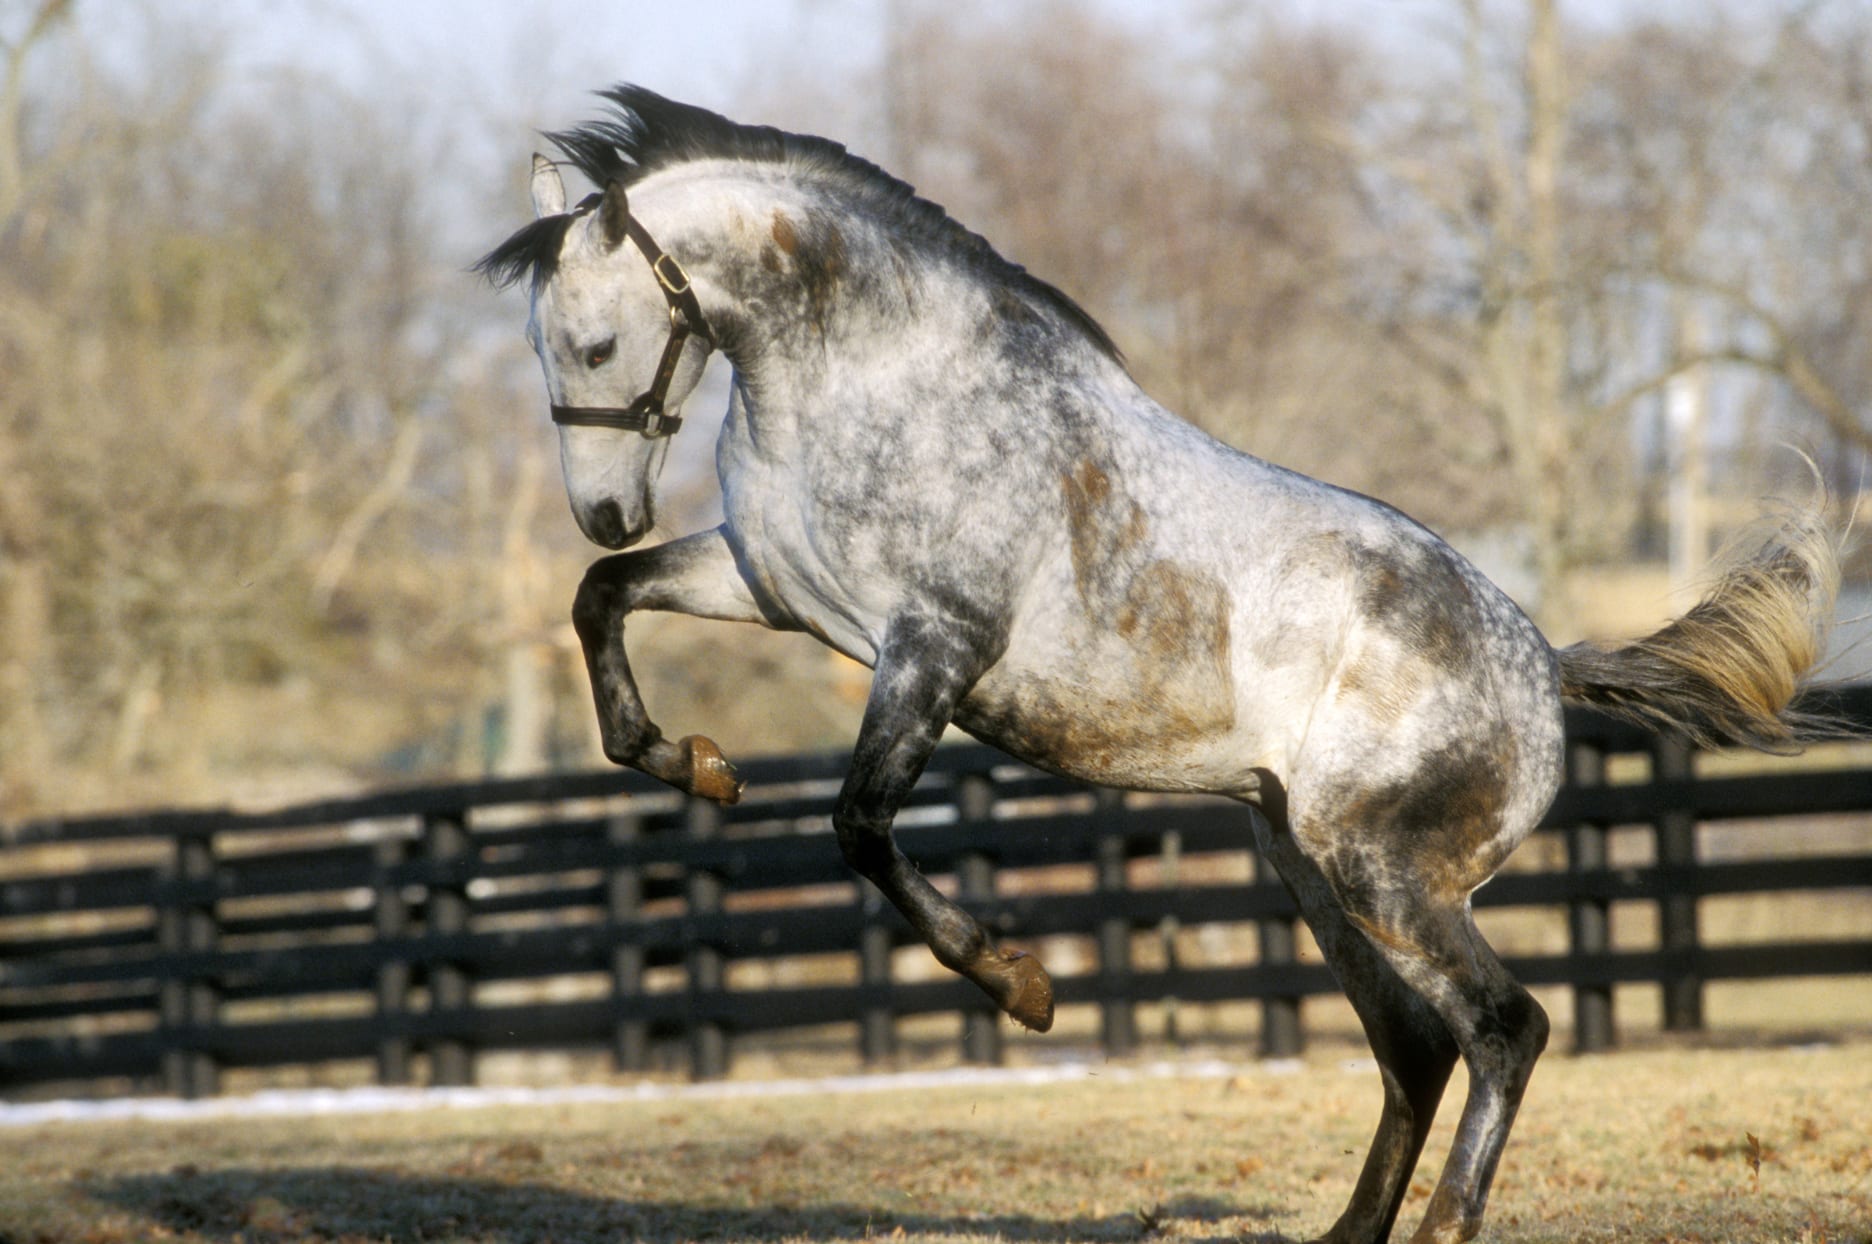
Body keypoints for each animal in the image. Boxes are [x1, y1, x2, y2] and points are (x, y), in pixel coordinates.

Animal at [475, 87, 1834, 1242]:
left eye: (594, 344)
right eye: (542, 346)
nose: (603, 509)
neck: (879, 383)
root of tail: (1541, 665)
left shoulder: (933, 645)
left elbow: (860, 824)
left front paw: (1020, 984)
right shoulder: (774, 589)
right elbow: (604, 605)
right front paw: (695, 764)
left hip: (1384, 871)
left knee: (1505, 1026)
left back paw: (1448, 1220)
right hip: (1313, 867)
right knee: (1416, 1045)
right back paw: (1351, 1229)